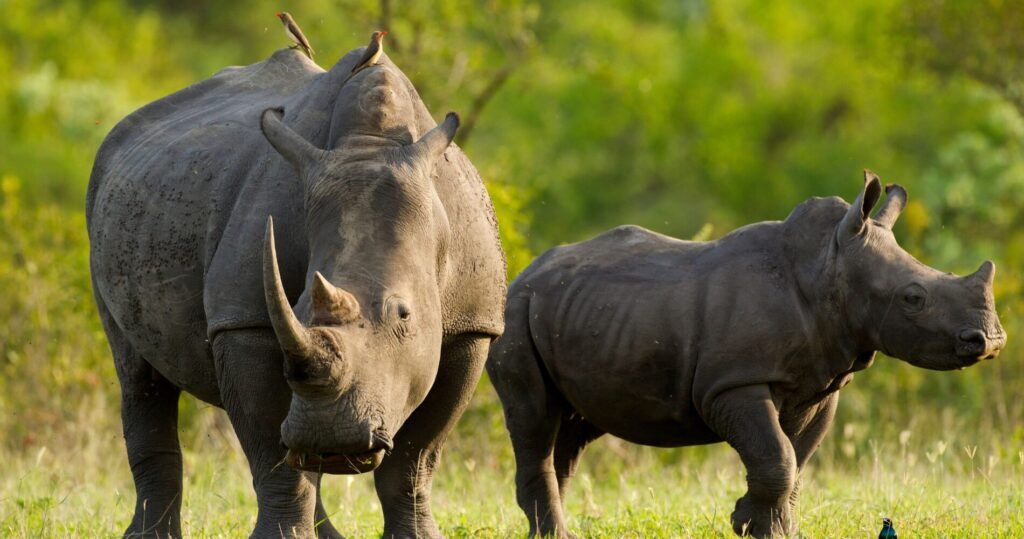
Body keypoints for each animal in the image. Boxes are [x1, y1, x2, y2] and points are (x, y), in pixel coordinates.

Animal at [87, 47, 505, 538]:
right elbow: (272, 449)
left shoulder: (472, 326)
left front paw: (418, 535)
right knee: (137, 374)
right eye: (298, 306)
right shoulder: (243, 320)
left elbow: (415, 458)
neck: (370, 146)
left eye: (403, 314)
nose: (334, 438)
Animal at [486, 172, 1005, 538]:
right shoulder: (734, 382)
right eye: (913, 298)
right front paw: (759, 529)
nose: (990, 340)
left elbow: (794, 460)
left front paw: (761, 526)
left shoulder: (819, 383)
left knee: (571, 429)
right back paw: (555, 532)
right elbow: (777, 456)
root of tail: (523, 273)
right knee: (535, 418)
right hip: (515, 314)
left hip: (577, 312)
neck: (828, 267)